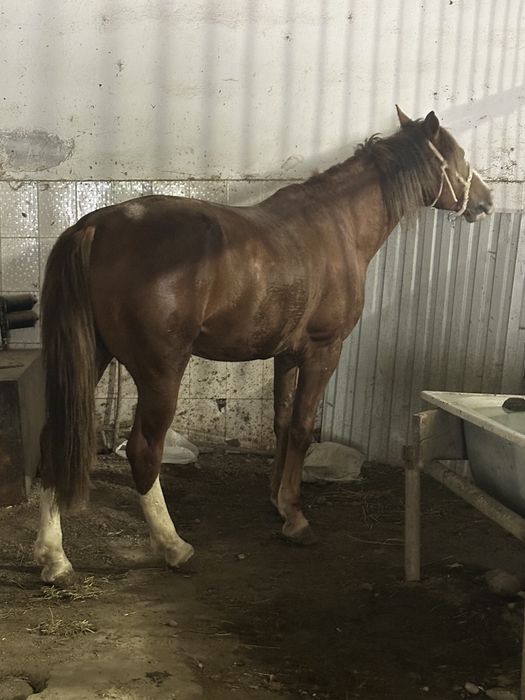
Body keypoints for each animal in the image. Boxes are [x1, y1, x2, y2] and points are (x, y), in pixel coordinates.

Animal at [34, 107, 493, 585]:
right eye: (458, 154)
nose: (486, 200)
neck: (338, 227)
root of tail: (94, 226)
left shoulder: (286, 356)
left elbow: (282, 423)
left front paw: (278, 500)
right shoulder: (323, 351)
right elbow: (303, 426)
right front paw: (296, 516)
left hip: (95, 357)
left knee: (51, 442)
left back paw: (54, 557)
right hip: (161, 372)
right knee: (144, 451)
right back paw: (173, 546)